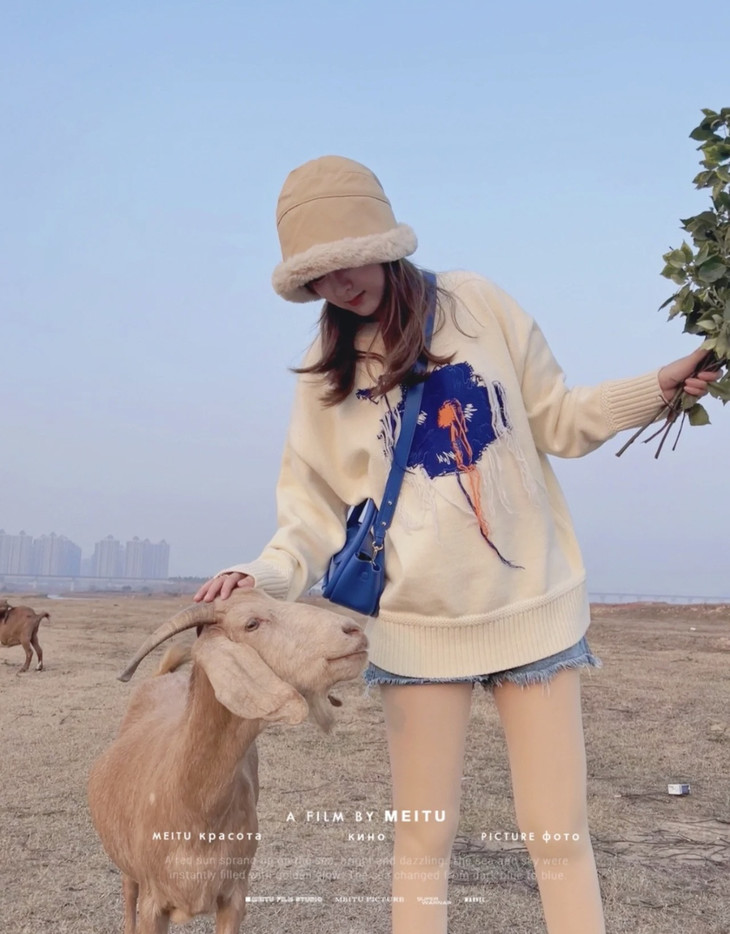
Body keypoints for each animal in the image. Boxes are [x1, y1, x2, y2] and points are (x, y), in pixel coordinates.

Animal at [87, 589, 368, 934]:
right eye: (251, 623)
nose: (353, 630)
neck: (193, 808)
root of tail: (162, 676)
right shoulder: (154, 900)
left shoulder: (234, 895)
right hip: (127, 865)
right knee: (128, 894)